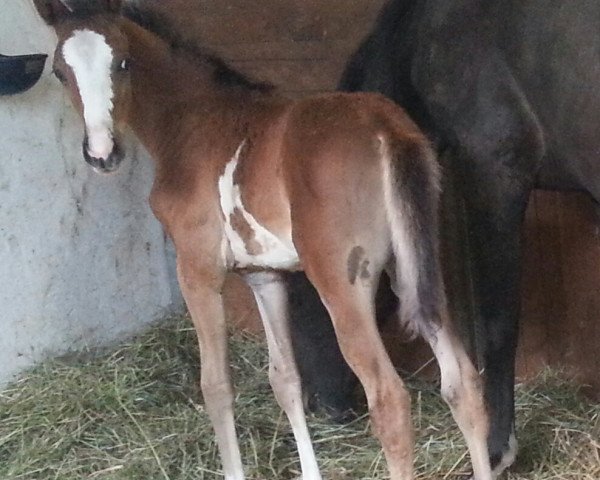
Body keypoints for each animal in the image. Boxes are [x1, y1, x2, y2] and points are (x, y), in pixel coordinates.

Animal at [32, 0, 492, 480]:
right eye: (59, 72)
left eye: (123, 62)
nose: (103, 154)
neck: (191, 124)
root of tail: (384, 127)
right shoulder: (264, 275)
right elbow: (284, 378)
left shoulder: (197, 270)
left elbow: (216, 385)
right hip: (414, 271)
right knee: (464, 385)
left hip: (344, 285)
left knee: (389, 401)